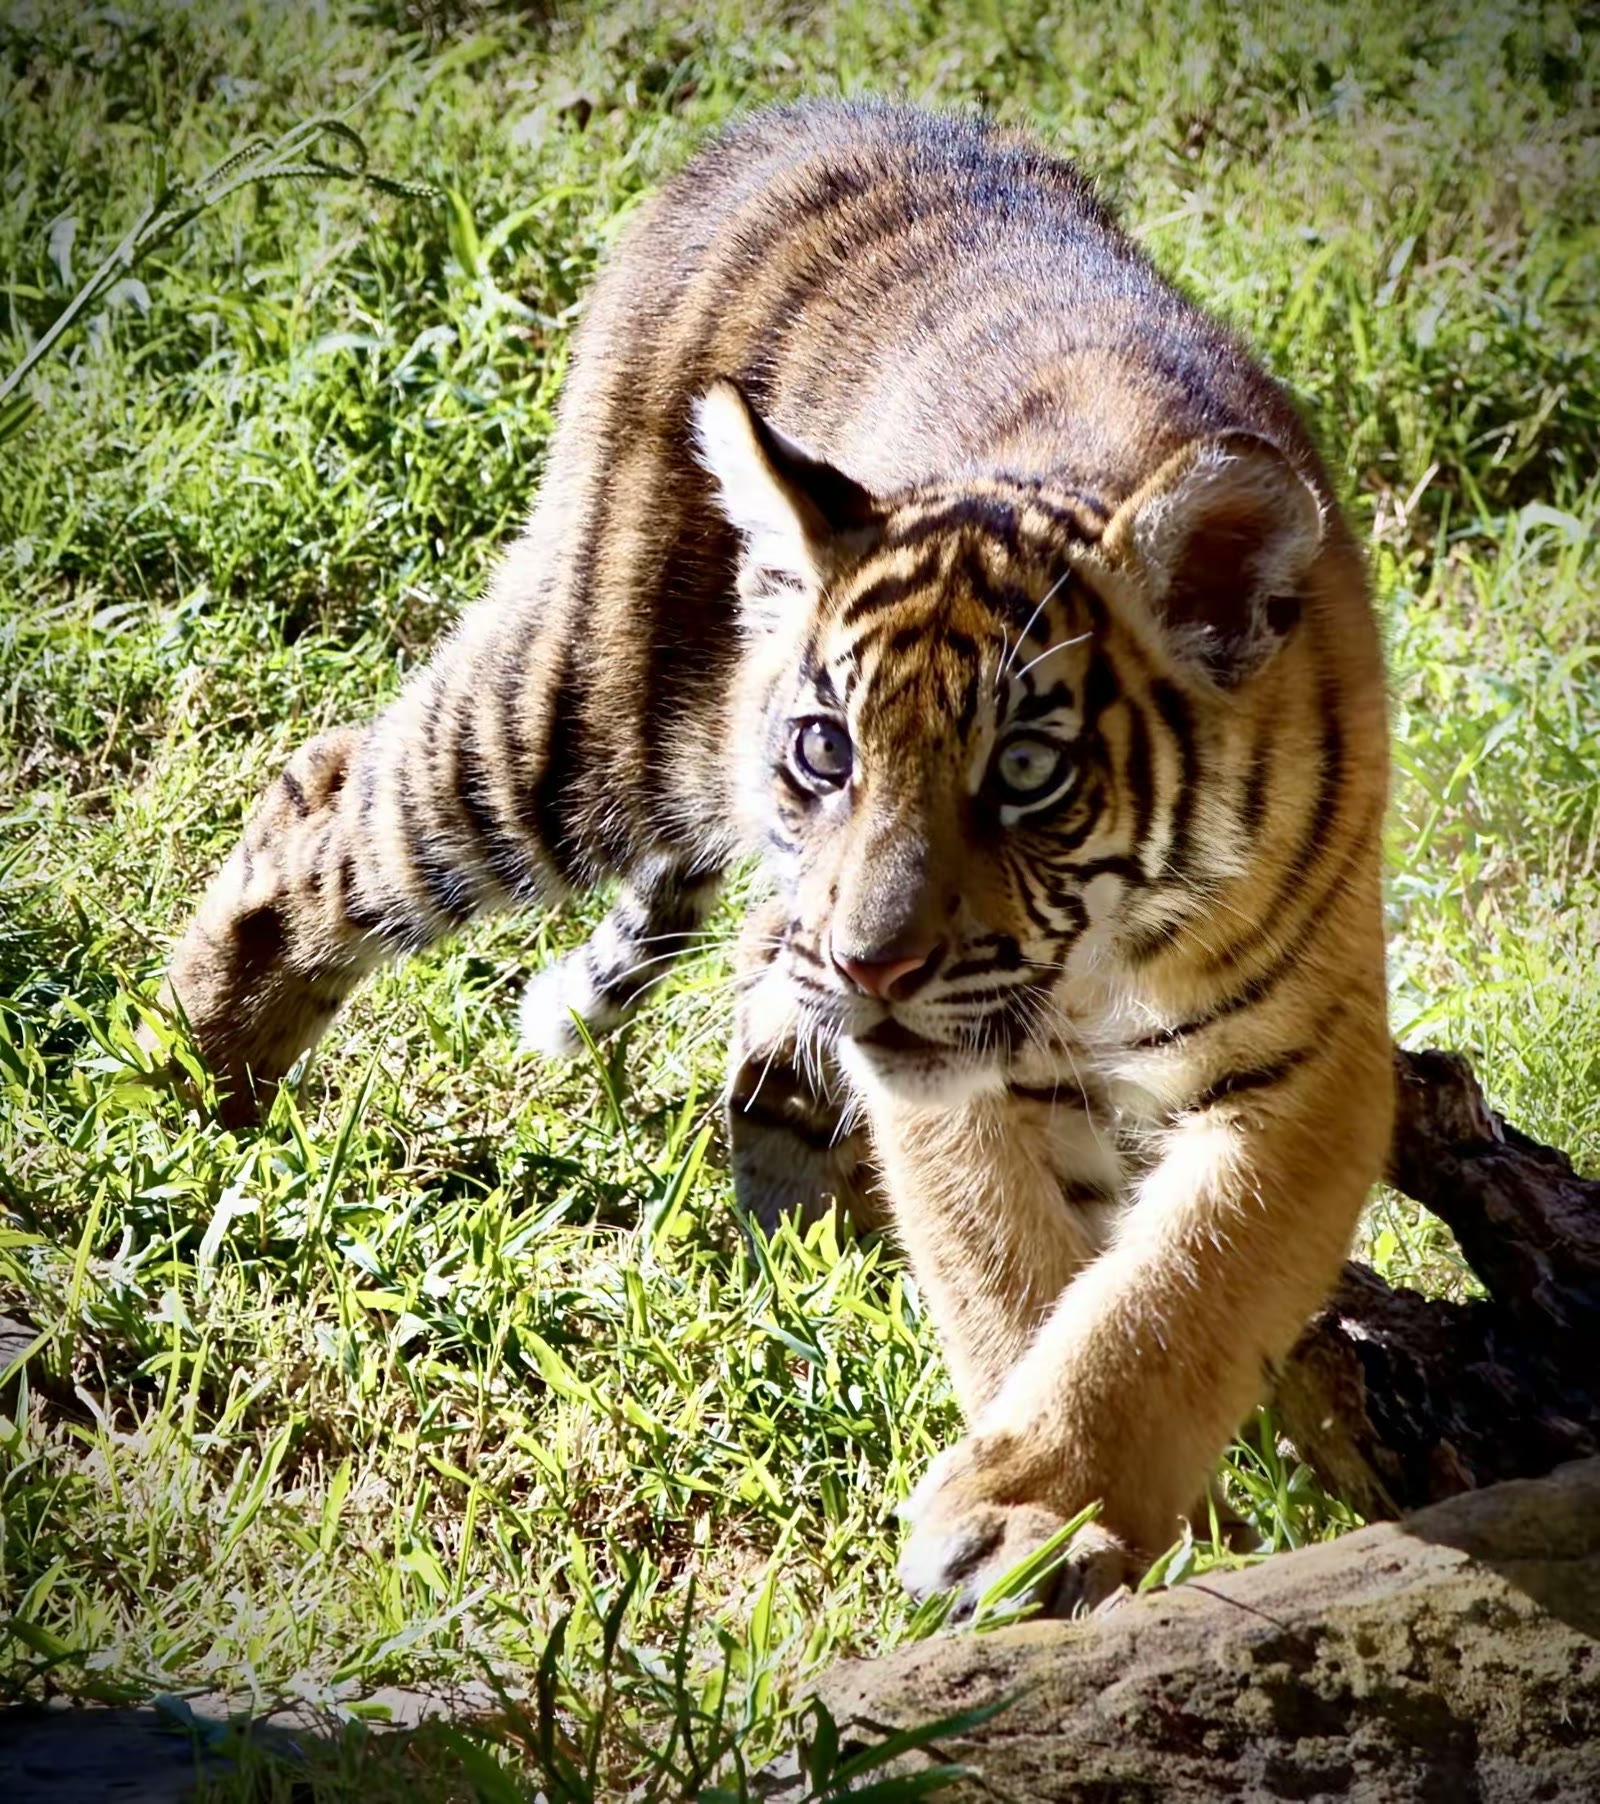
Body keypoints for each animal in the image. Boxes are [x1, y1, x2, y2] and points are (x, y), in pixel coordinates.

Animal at [154, 101, 1393, 1615]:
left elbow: (1171, 1292)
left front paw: (1052, 1507)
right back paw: (184, 1074)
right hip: (584, 715)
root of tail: (808, 113)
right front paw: (1035, 1528)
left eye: (1026, 774)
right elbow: (1016, 1275)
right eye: (827, 749)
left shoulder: (1305, 1065)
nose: (873, 965)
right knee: (333, 788)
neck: (1106, 956)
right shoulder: (960, 1075)